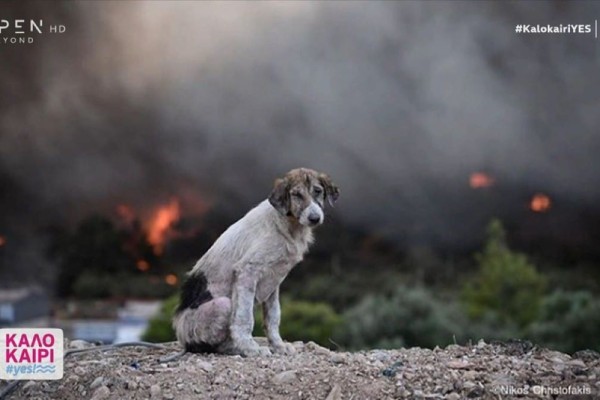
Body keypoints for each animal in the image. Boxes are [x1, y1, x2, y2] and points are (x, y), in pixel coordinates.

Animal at [172, 166, 338, 356]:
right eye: (296, 195)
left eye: (318, 191)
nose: (314, 218)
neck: (287, 225)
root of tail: (182, 337)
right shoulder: (247, 271)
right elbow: (244, 319)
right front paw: (251, 348)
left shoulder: (274, 280)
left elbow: (273, 317)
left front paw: (279, 346)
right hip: (222, 305)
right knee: (211, 344)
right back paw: (235, 348)